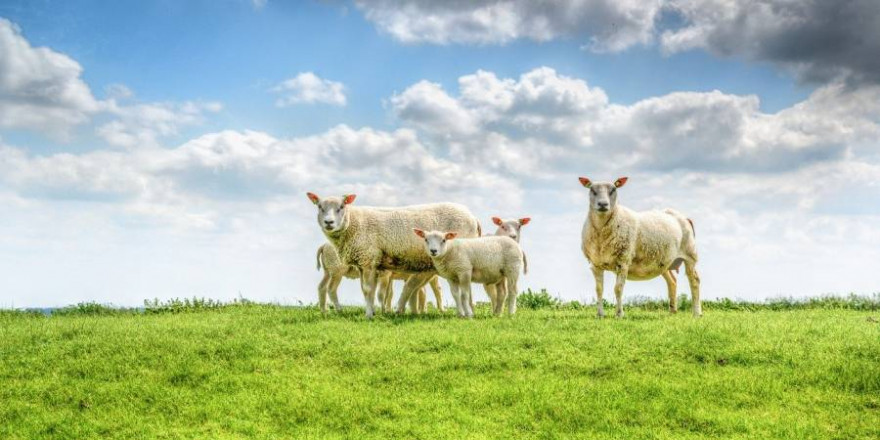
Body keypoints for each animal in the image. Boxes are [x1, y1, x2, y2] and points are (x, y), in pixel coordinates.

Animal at [304, 192, 482, 316]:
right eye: (320, 207)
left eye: (341, 207)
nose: (329, 222)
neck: (354, 222)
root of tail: (474, 218)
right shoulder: (364, 262)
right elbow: (367, 290)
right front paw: (374, 311)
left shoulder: (369, 258)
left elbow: (370, 290)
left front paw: (370, 314)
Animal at [576, 177, 700, 318]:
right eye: (592, 190)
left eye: (613, 189)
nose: (603, 204)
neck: (601, 233)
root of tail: (683, 217)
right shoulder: (595, 264)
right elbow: (599, 289)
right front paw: (600, 314)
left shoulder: (623, 260)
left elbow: (618, 289)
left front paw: (619, 314)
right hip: (664, 261)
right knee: (672, 281)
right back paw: (672, 311)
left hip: (690, 254)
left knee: (694, 281)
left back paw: (697, 313)